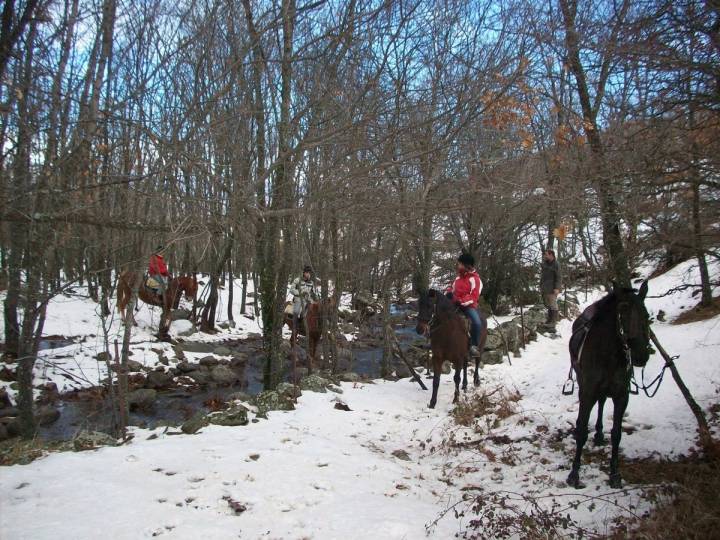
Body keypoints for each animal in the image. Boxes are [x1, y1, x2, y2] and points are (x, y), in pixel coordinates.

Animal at [568, 282, 652, 490]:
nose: (640, 354)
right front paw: (574, 474)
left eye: (646, 315)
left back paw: (599, 434)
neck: (607, 355)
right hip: (582, 384)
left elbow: (616, 434)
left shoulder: (622, 396)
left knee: (602, 402)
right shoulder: (588, 393)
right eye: (622, 312)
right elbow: (582, 431)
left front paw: (615, 474)